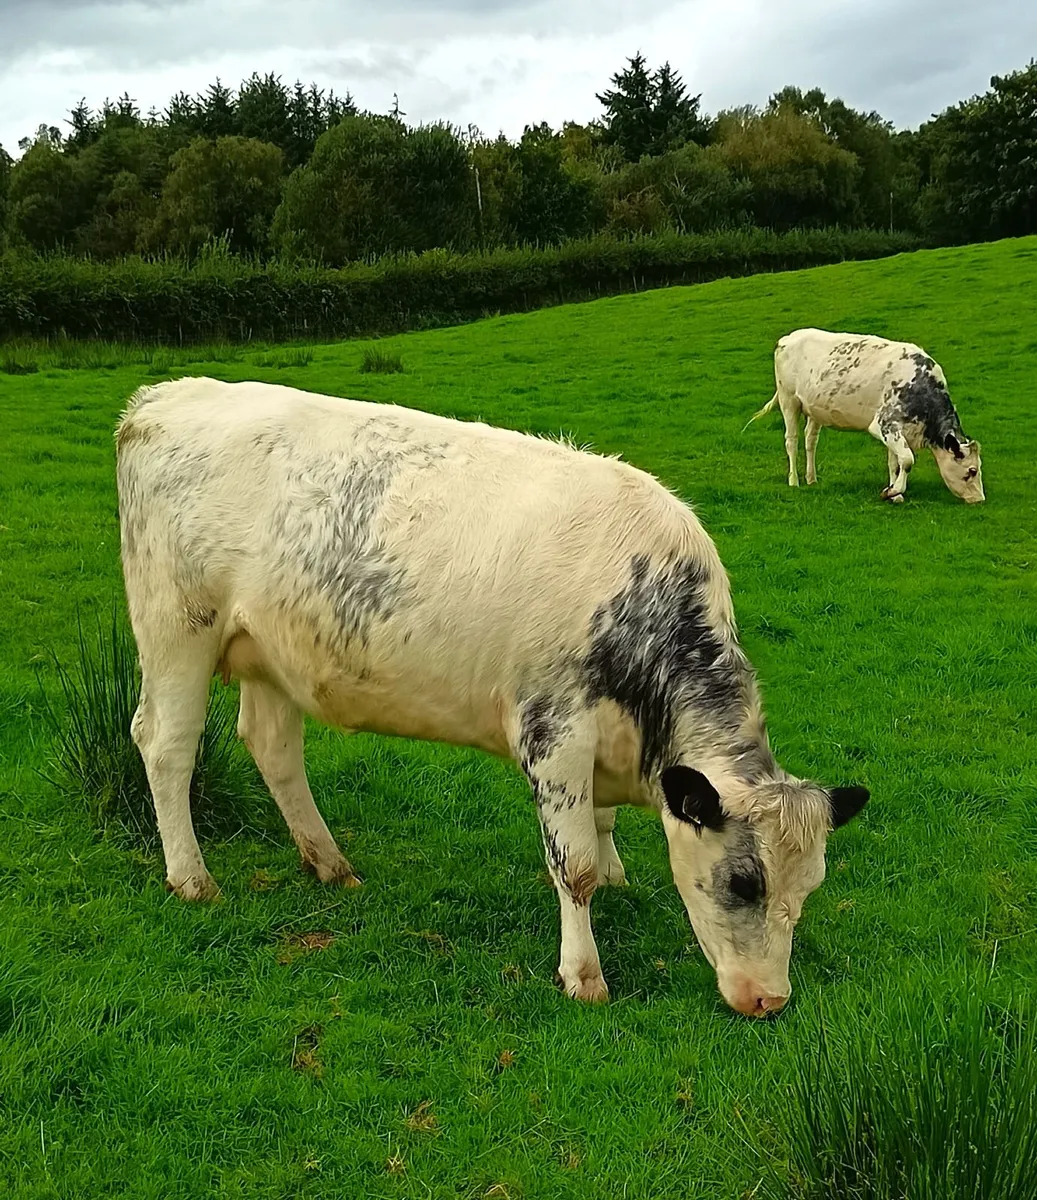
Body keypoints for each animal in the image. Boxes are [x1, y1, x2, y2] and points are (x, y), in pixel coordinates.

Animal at [115, 377, 869, 1017]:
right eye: (744, 883)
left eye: (808, 888)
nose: (769, 1000)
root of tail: (165, 396)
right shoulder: (553, 732)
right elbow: (573, 866)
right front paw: (583, 972)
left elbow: (601, 827)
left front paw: (619, 875)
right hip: (176, 627)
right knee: (166, 744)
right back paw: (192, 878)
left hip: (272, 651)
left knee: (272, 748)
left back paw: (329, 862)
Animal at [747, 328, 985, 504]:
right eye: (972, 471)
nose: (980, 499)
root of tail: (787, 338)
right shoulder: (884, 423)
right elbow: (907, 460)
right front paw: (891, 491)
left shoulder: (897, 430)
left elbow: (895, 462)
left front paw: (895, 492)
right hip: (788, 400)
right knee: (791, 441)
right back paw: (794, 481)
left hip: (814, 409)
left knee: (810, 441)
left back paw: (812, 479)